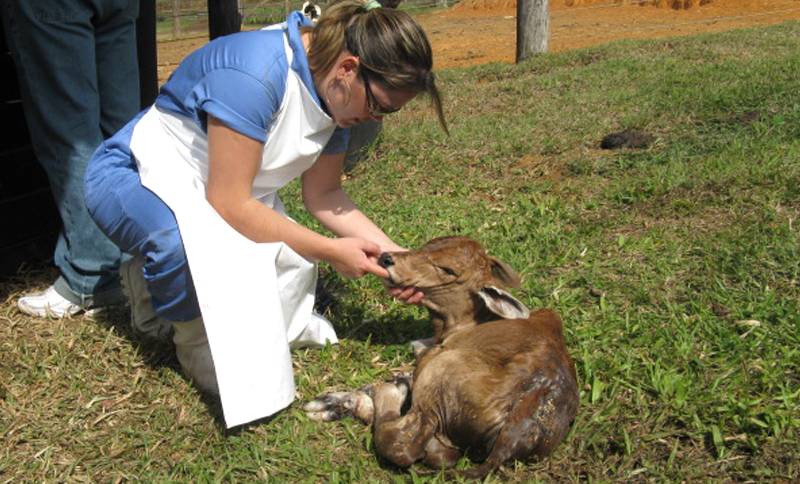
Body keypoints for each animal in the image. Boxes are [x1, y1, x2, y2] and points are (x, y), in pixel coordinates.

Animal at [304, 236, 580, 478]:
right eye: (428, 244)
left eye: (447, 270)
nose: (386, 258)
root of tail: (516, 429)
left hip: (440, 375)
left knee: (403, 443)